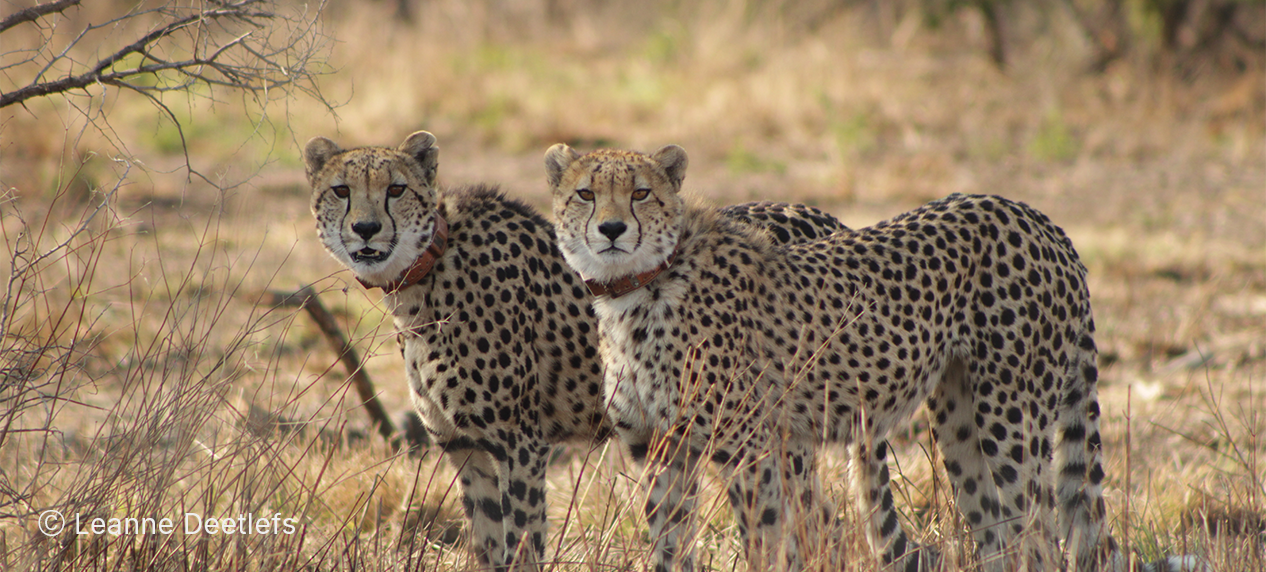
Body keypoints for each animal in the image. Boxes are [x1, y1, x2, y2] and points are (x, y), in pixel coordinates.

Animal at [304, 131, 849, 571]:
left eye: (396, 189)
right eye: (341, 190)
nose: (366, 229)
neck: (422, 279)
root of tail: (820, 214)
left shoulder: (519, 443)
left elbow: (523, 545)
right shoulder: (466, 449)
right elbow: (488, 549)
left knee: (815, 524)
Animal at [546, 143, 1197, 572]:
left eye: (640, 193)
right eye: (586, 193)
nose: (611, 228)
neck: (635, 290)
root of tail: (1037, 218)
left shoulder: (746, 449)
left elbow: (767, 541)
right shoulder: (661, 451)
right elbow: (669, 545)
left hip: (1011, 417)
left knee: (1038, 539)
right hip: (959, 422)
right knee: (1001, 536)